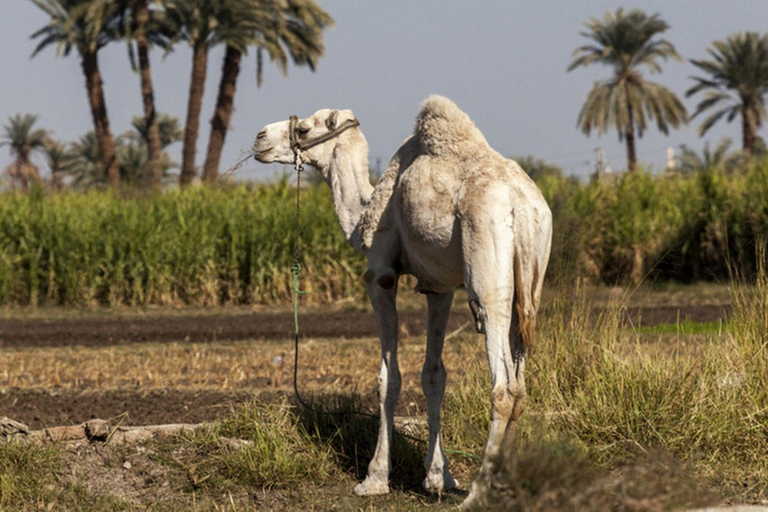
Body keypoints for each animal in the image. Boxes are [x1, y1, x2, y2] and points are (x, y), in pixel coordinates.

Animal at [252, 96, 552, 508]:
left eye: (303, 129)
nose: (260, 137)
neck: (365, 210)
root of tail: (521, 205)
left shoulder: (380, 275)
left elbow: (388, 378)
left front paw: (375, 478)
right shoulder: (439, 287)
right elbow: (434, 375)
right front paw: (439, 477)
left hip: (487, 270)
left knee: (503, 385)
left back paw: (478, 492)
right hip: (531, 279)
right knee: (521, 384)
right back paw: (502, 481)